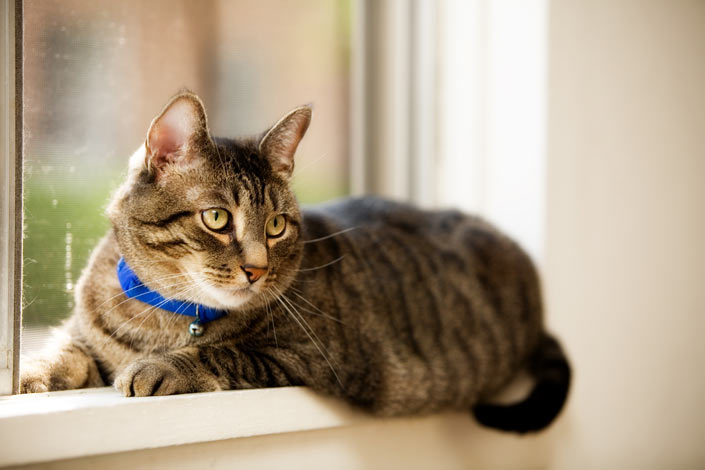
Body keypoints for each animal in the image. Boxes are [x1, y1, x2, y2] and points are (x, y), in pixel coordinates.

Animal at [20, 91, 572, 434]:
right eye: (217, 218)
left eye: (276, 226)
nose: (258, 270)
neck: (163, 316)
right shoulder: (84, 330)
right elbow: (66, 349)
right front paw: (29, 372)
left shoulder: (305, 354)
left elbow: (223, 353)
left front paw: (162, 367)